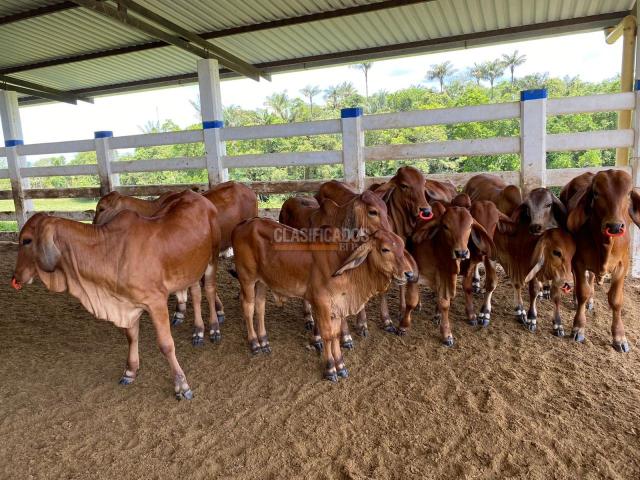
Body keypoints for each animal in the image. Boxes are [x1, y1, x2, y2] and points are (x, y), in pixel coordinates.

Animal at [11, 190, 221, 399]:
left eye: (27, 240)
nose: (15, 277)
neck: (111, 251)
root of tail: (197, 195)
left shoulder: (156, 302)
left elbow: (166, 344)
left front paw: (181, 384)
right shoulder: (127, 303)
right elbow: (131, 336)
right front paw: (130, 371)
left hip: (212, 259)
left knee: (210, 291)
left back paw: (214, 328)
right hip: (190, 268)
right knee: (195, 294)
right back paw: (198, 332)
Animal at [231, 218, 416, 381]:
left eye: (402, 246)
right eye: (385, 249)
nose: (409, 274)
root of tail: (242, 225)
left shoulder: (338, 306)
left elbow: (335, 335)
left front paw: (340, 365)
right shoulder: (322, 303)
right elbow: (327, 335)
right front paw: (330, 368)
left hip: (262, 282)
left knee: (260, 307)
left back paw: (264, 341)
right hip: (247, 278)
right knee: (248, 307)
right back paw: (254, 343)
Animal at [399, 200, 495, 346]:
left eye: (470, 225)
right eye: (445, 226)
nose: (461, 253)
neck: (437, 249)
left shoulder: (446, 277)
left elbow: (445, 304)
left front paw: (446, 334)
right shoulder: (415, 274)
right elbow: (411, 300)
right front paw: (403, 326)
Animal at [560, 169, 640, 352]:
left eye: (628, 193)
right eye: (596, 193)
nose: (615, 227)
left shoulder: (622, 266)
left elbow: (616, 300)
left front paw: (619, 337)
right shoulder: (578, 261)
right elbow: (582, 291)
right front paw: (578, 327)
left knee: (591, 278)